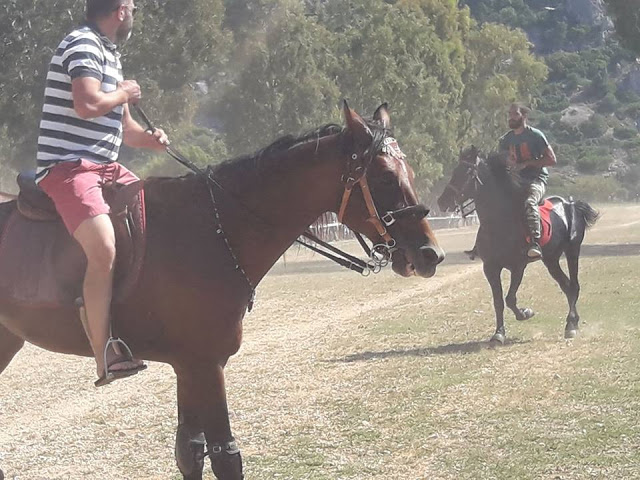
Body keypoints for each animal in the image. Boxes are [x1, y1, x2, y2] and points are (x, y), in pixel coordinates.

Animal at [0, 102, 444, 480]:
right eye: (384, 176)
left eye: (409, 173)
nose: (430, 254)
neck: (213, 227)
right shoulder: (205, 364)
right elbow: (225, 455)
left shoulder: (188, 366)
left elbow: (190, 450)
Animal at [438, 146, 596, 344]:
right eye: (454, 171)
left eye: (466, 172)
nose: (442, 201)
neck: (499, 222)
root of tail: (571, 203)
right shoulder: (490, 267)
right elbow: (498, 301)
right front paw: (498, 333)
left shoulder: (517, 266)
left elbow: (510, 298)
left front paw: (525, 313)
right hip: (551, 259)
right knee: (566, 286)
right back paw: (572, 322)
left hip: (572, 250)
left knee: (574, 285)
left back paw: (571, 326)